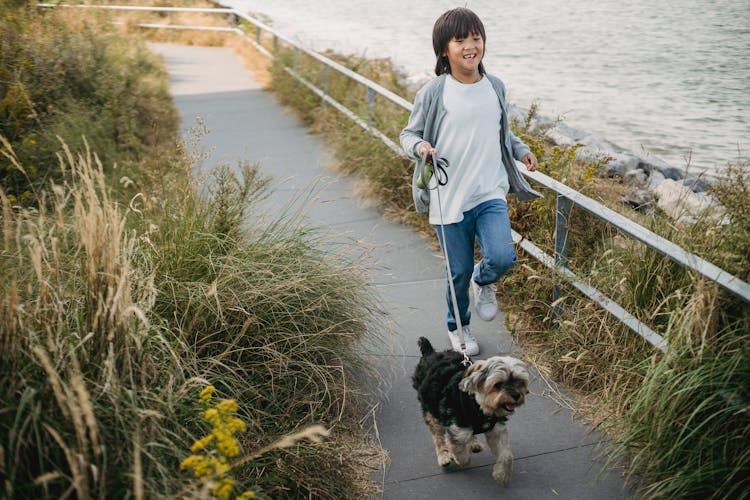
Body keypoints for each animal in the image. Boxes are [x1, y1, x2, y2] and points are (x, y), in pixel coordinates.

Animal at [414, 336, 532, 484]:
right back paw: (444, 456)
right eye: (498, 384)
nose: (516, 395)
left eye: (519, 381)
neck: (478, 405)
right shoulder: (457, 430)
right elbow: (459, 449)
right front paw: (460, 459)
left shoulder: (497, 430)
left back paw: (473, 443)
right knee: (438, 436)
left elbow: (506, 455)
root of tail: (430, 353)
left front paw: (502, 475)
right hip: (430, 408)